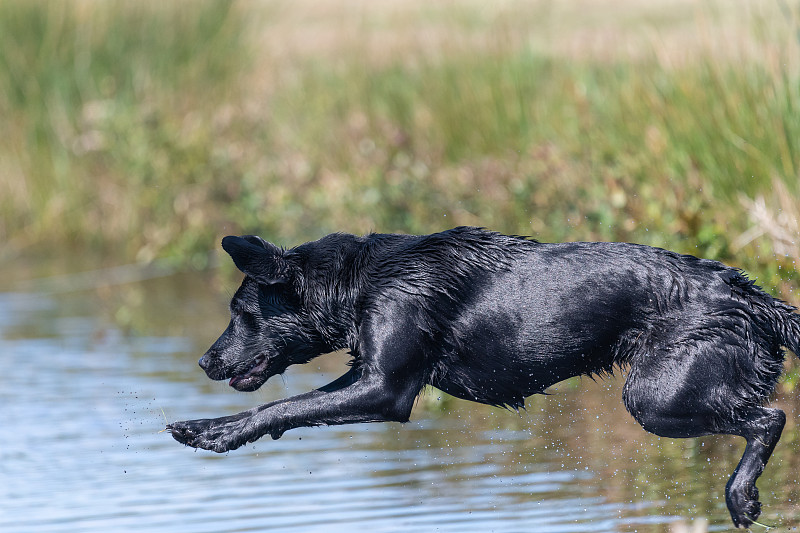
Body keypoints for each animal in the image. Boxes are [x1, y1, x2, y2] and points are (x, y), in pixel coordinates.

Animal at [170, 225, 800, 528]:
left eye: (241, 314)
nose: (204, 362)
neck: (360, 282)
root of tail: (757, 298)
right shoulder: (372, 380)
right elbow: (284, 409)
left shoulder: (385, 388)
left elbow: (281, 407)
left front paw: (212, 433)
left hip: (655, 396)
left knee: (771, 417)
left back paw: (741, 496)